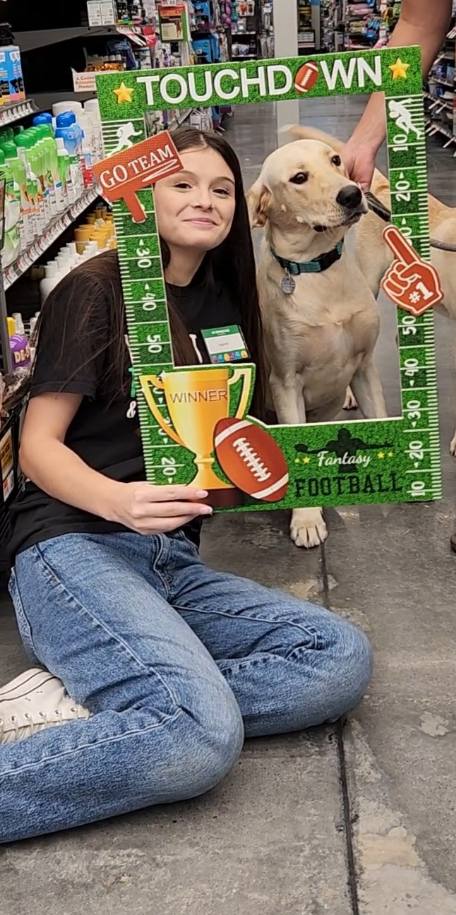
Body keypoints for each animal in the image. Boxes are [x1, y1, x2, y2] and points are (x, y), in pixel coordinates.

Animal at [247, 139, 387, 548]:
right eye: (298, 178)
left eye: (336, 160)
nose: (352, 194)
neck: (319, 271)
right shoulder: (285, 383)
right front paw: (307, 519)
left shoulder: (365, 366)